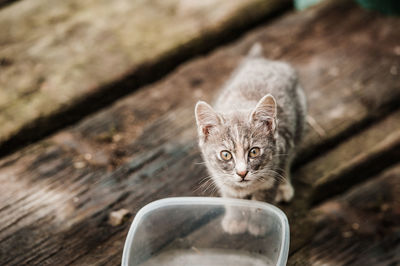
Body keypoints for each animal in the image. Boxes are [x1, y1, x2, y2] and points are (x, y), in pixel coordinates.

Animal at [194, 43, 306, 235]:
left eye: (254, 152)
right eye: (225, 154)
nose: (242, 173)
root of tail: (262, 61)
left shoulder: (280, 151)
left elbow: (263, 198)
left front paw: (259, 224)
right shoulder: (219, 175)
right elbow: (231, 196)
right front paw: (235, 220)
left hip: (299, 117)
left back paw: (284, 185)